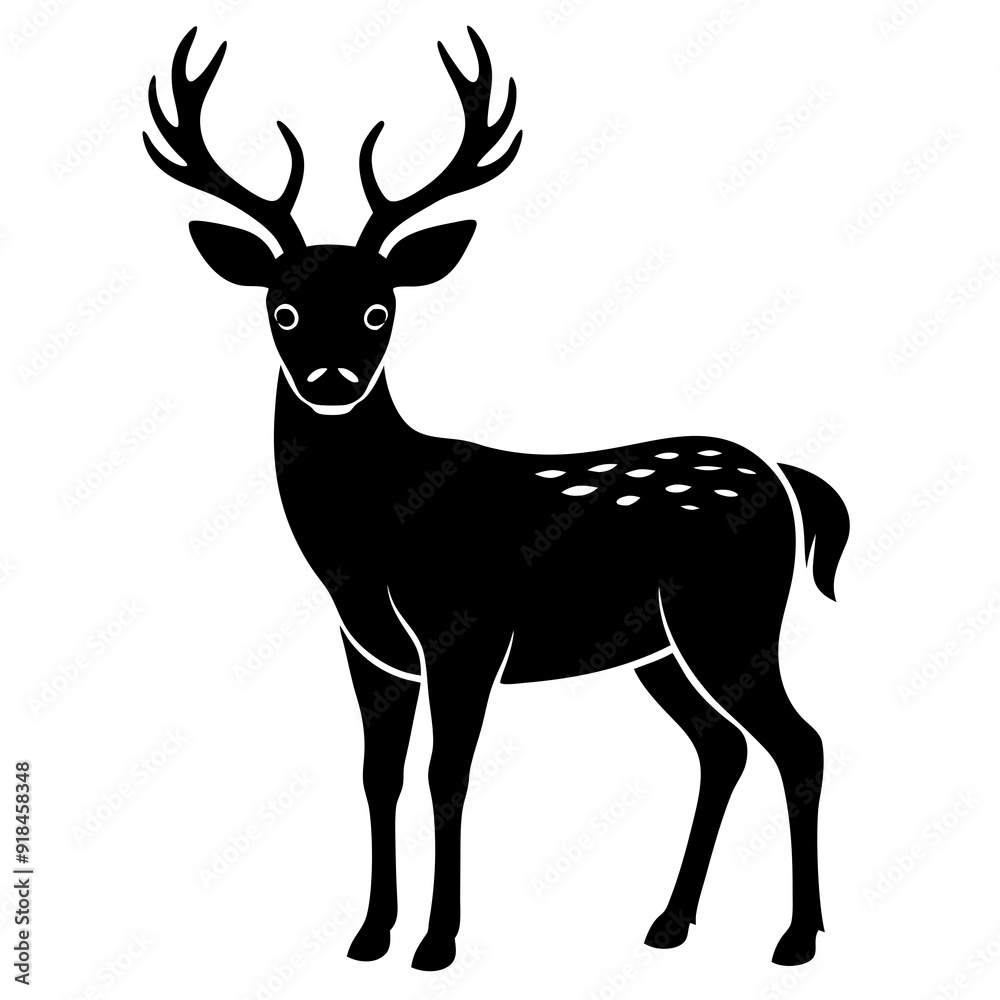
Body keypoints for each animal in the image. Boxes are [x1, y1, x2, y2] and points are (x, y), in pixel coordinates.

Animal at [144, 25, 850, 972]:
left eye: (379, 310)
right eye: (281, 309)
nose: (332, 380)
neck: (372, 539)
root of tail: (785, 477)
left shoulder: (467, 628)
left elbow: (448, 775)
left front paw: (437, 943)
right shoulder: (368, 647)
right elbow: (377, 775)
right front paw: (368, 935)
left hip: (730, 614)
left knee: (799, 742)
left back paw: (797, 938)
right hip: (661, 646)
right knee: (724, 748)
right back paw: (668, 923)